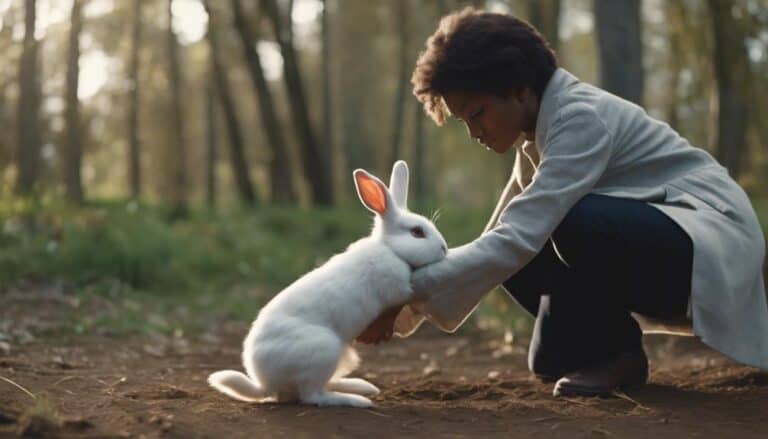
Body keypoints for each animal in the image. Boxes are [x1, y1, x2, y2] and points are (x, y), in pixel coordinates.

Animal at [208, 160, 447, 408]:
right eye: (417, 232)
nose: (444, 248)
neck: (390, 249)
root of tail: (265, 383)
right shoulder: (398, 287)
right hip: (324, 350)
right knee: (313, 395)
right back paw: (357, 400)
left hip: (341, 357)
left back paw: (362, 386)